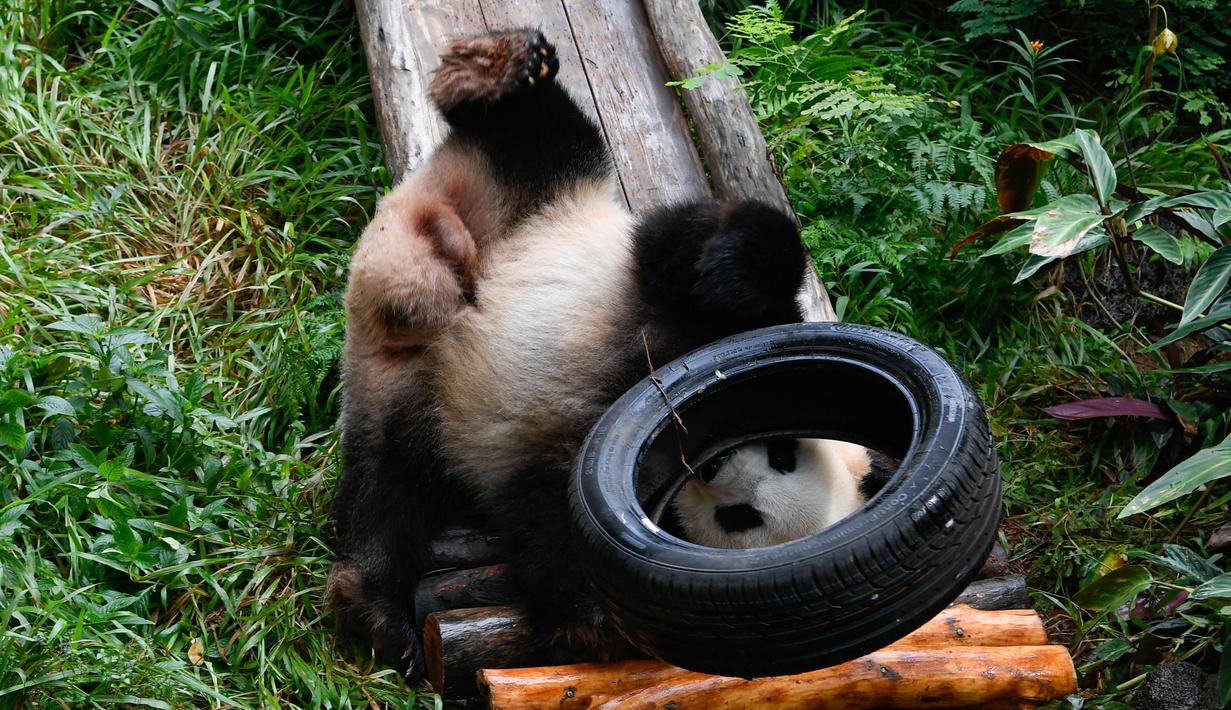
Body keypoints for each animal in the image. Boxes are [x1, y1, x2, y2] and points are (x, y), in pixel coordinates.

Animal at [328, 28, 874, 681]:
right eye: (783, 452)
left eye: (744, 518)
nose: (713, 463)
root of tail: (413, 269)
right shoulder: (701, 304)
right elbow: (713, 247)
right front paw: (725, 273)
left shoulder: (557, 462)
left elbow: (554, 528)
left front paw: (591, 625)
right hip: (531, 202)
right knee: (549, 139)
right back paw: (498, 71)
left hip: (403, 394)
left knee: (385, 489)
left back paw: (376, 607)